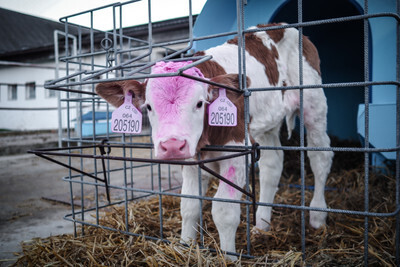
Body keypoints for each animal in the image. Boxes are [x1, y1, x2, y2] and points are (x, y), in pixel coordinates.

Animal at [95, 23, 332, 260]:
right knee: (272, 164)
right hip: (269, 120)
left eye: (200, 103)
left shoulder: (236, 152)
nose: (171, 145)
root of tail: (281, 26)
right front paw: (185, 246)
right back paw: (262, 224)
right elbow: (189, 205)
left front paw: (228, 256)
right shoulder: (191, 157)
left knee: (320, 156)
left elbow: (224, 210)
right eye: (149, 107)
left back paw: (317, 216)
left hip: (313, 101)